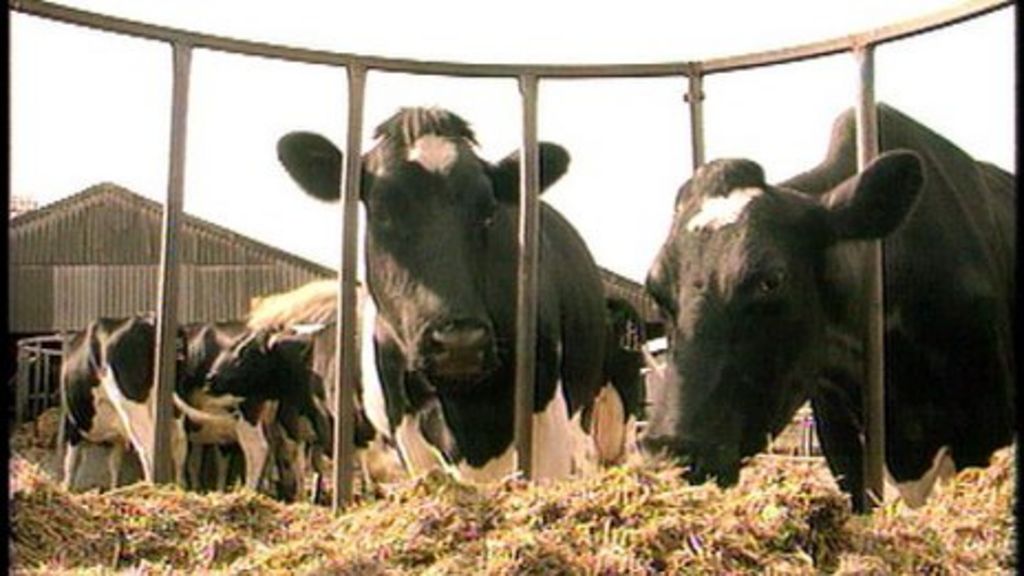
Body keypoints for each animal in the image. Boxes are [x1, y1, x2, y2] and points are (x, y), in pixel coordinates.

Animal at [60, 314, 188, 490]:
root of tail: (150, 320)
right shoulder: (118, 436)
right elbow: (114, 462)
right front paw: (114, 488)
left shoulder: (73, 424)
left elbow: (71, 462)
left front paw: (66, 488)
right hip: (175, 410)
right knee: (179, 446)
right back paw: (179, 487)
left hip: (133, 408)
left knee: (147, 448)